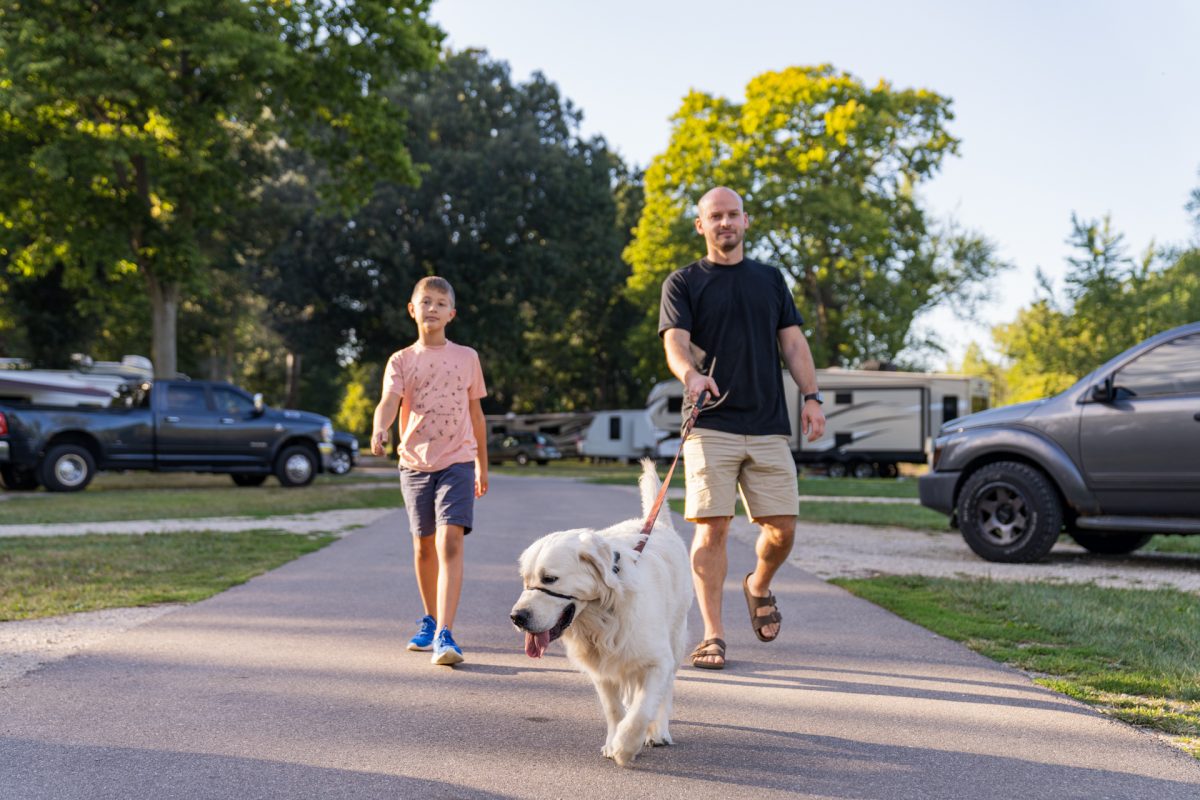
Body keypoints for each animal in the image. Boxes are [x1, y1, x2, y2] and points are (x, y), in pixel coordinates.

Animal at [508, 460, 696, 767]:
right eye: (526, 580)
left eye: (550, 579)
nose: (517, 617)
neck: (602, 616)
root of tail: (660, 525)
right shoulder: (601, 668)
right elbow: (614, 708)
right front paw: (613, 741)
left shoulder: (657, 660)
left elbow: (643, 708)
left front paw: (626, 746)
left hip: (676, 636)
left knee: (666, 690)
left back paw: (659, 732)